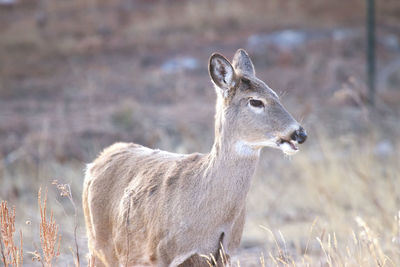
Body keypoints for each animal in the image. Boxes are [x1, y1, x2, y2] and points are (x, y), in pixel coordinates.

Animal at [81, 49, 306, 266]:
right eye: (255, 101)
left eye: (276, 95)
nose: (300, 133)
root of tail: (95, 163)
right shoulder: (159, 254)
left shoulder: (223, 254)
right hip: (99, 246)